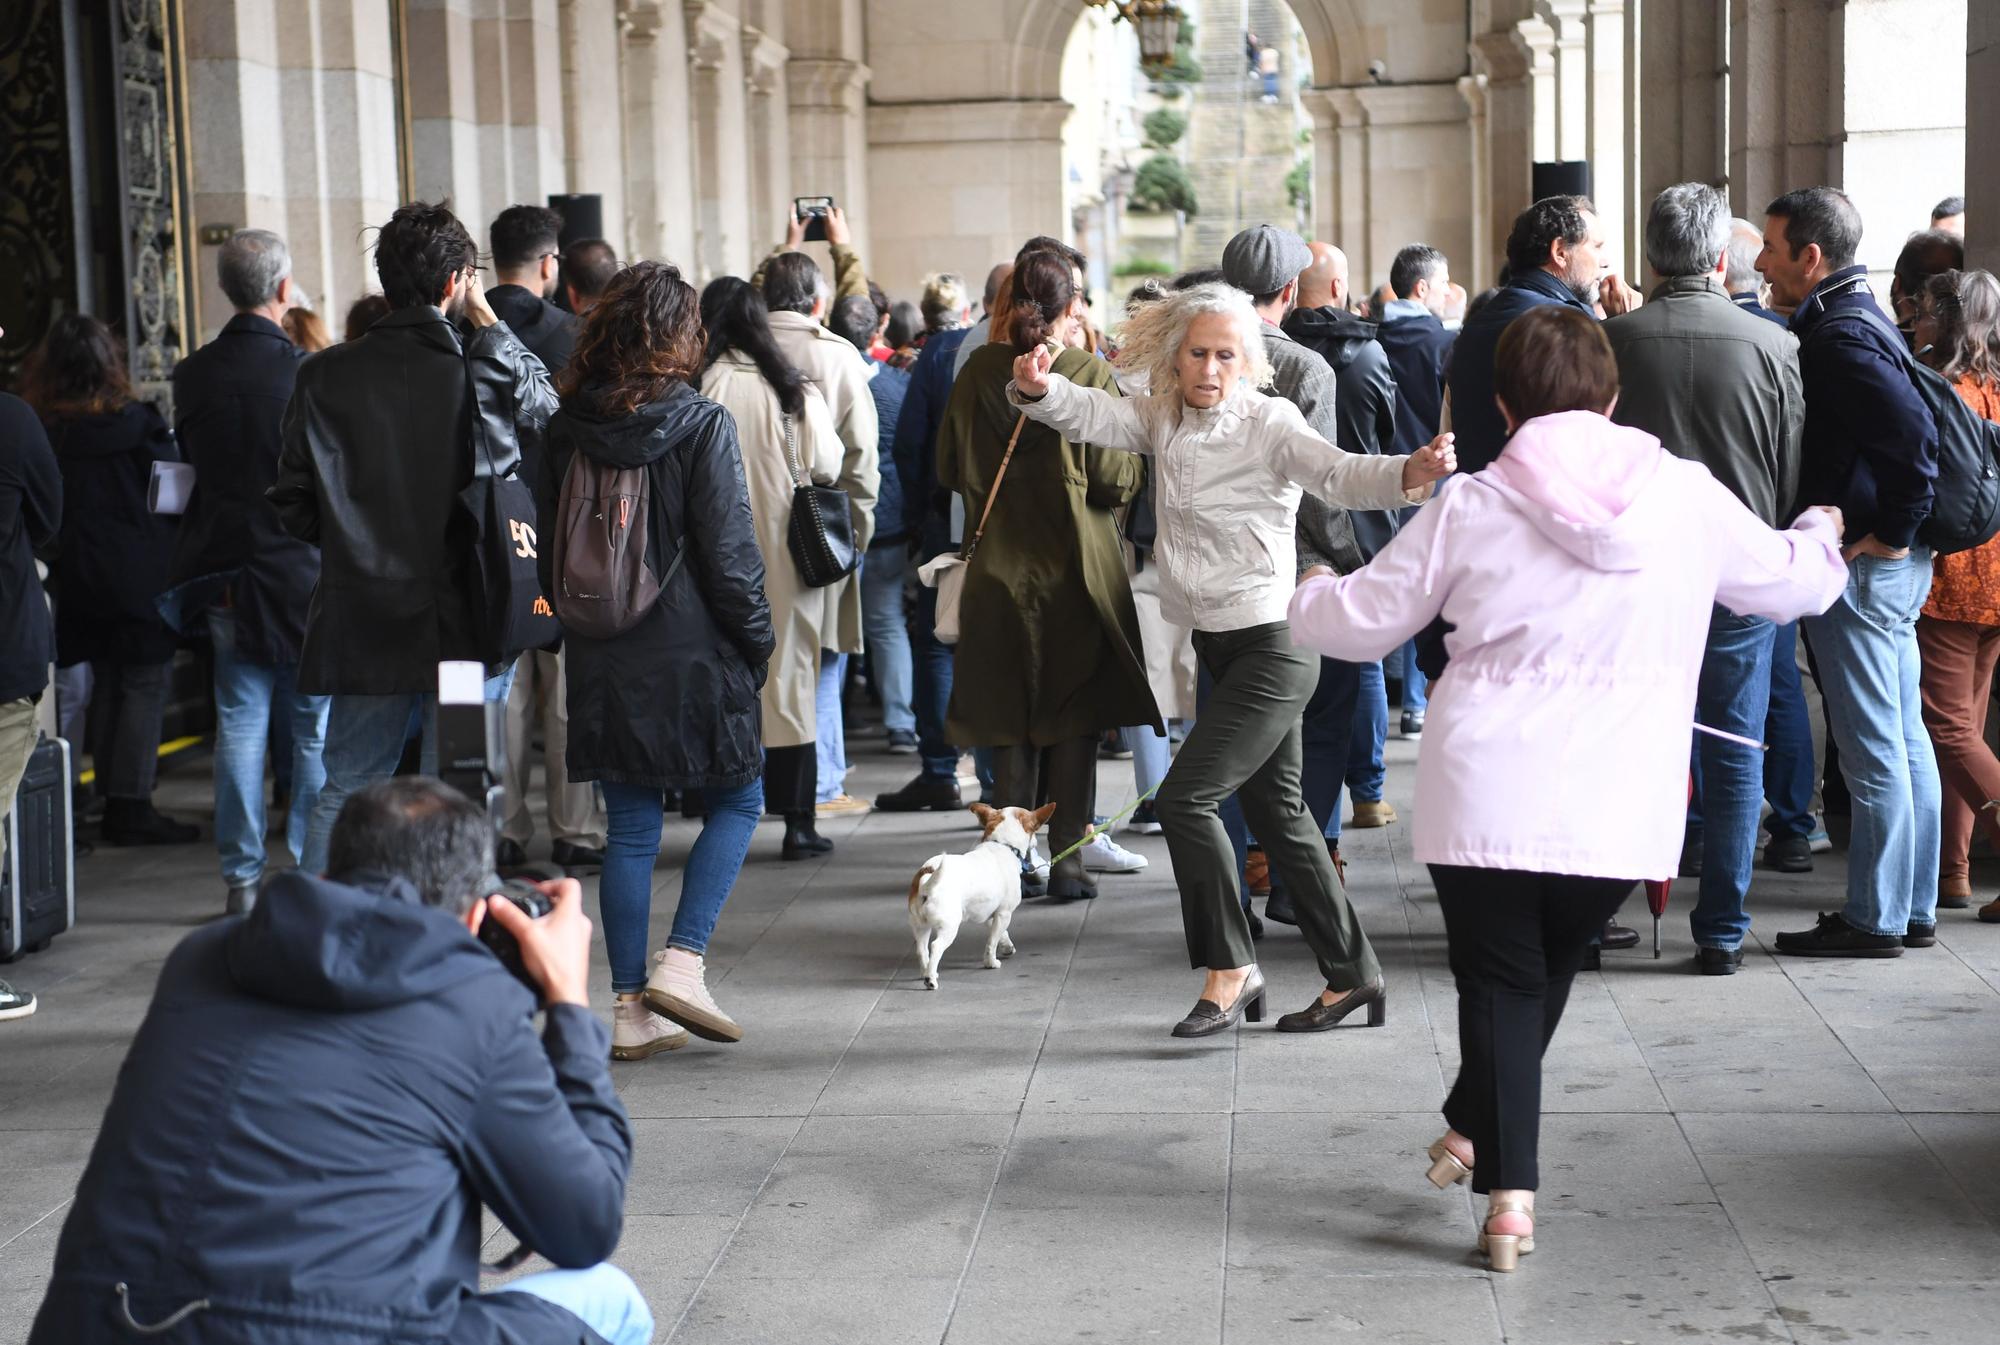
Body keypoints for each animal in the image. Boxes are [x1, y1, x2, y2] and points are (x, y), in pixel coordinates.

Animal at [912, 804, 1064, 992]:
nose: (1036, 842)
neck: (1003, 845)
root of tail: (926, 881)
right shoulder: (1004, 913)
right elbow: (992, 942)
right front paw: (991, 962)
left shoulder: (991, 914)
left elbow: (1000, 934)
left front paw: (1007, 946)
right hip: (949, 926)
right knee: (935, 946)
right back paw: (931, 979)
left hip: (920, 926)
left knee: (922, 949)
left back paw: (925, 972)